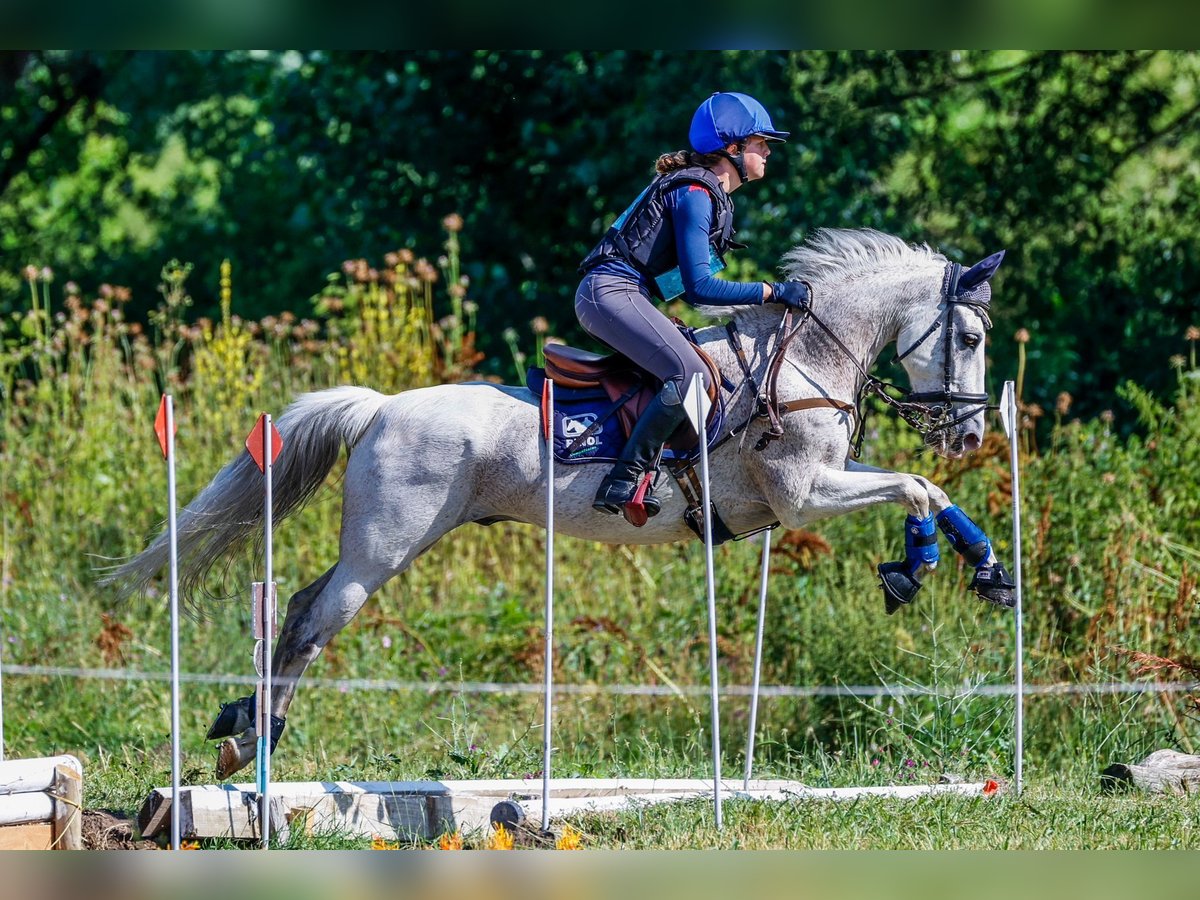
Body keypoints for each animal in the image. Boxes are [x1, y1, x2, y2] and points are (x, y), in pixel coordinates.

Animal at [105, 227, 1014, 780]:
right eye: (969, 338)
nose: (971, 434)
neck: (803, 358)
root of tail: (381, 406)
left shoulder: (825, 481)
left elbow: (925, 488)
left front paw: (983, 569)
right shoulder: (803, 495)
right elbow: (915, 487)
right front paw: (917, 564)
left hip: (379, 544)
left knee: (296, 607)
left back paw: (249, 732)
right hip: (384, 547)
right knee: (308, 626)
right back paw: (251, 744)